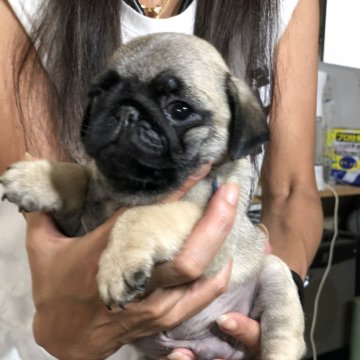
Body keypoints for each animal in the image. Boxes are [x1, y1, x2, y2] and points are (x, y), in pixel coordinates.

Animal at [0, 32, 306, 358]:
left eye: (180, 110)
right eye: (99, 93)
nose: (126, 110)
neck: (134, 186)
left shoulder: (209, 225)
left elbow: (143, 215)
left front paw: (118, 264)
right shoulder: (79, 226)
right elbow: (78, 175)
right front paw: (35, 177)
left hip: (274, 273)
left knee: (282, 335)